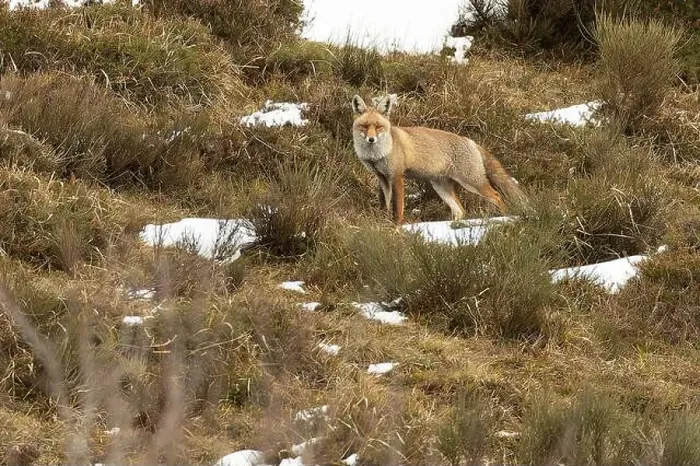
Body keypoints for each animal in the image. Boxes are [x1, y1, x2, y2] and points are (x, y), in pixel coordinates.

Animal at [351, 93, 526, 224]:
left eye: (378, 127)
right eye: (364, 126)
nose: (371, 139)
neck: (377, 155)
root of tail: (471, 141)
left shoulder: (396, 176)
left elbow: (398, 208)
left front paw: (397, 225)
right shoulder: (382, 178)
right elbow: (385, 205)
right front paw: (384, 222)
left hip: (472, 182)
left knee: (497, 196)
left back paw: (506, 218)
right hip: (441, 186)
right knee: (460, 210)